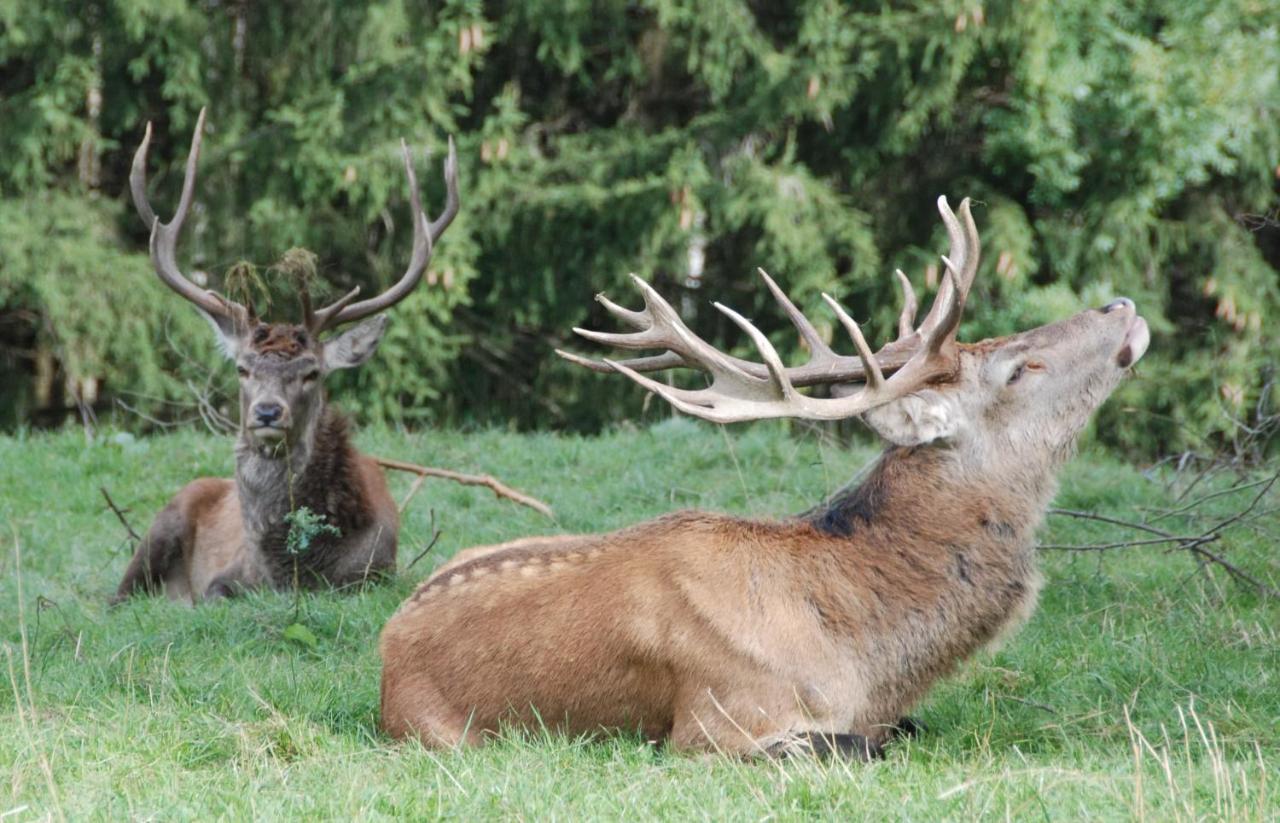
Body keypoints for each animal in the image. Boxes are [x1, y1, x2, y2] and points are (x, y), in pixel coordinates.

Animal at [112, 109, 458, 604]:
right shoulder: (228, 576)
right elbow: (214, 594)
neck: (286, 572)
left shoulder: (376, 574)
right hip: (162, 523)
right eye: (242, 368)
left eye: (311, 373)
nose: (268, 412)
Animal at [376, 195, 1152, 762]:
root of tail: (384, 653)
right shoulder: (718, 725)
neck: (868, 659)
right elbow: (856, 747)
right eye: (1020, 368)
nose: (1122, 307)